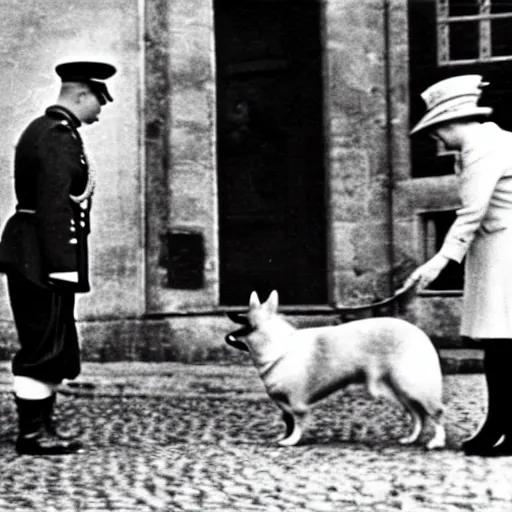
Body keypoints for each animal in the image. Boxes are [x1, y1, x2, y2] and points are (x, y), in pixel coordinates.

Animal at [226, 290, 446, 450]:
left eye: (242, 314)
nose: (228, 310)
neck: (274, 344)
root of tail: (421, 334)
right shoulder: (283, 403)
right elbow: (288, 421)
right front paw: (284, 437)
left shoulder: (296, 403)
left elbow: (297, 422)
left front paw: (291, 441)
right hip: (397, 390)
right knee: (417, 415)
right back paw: (410, 439)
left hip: (411, 386)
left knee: (435, 412)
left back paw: (436, 442)